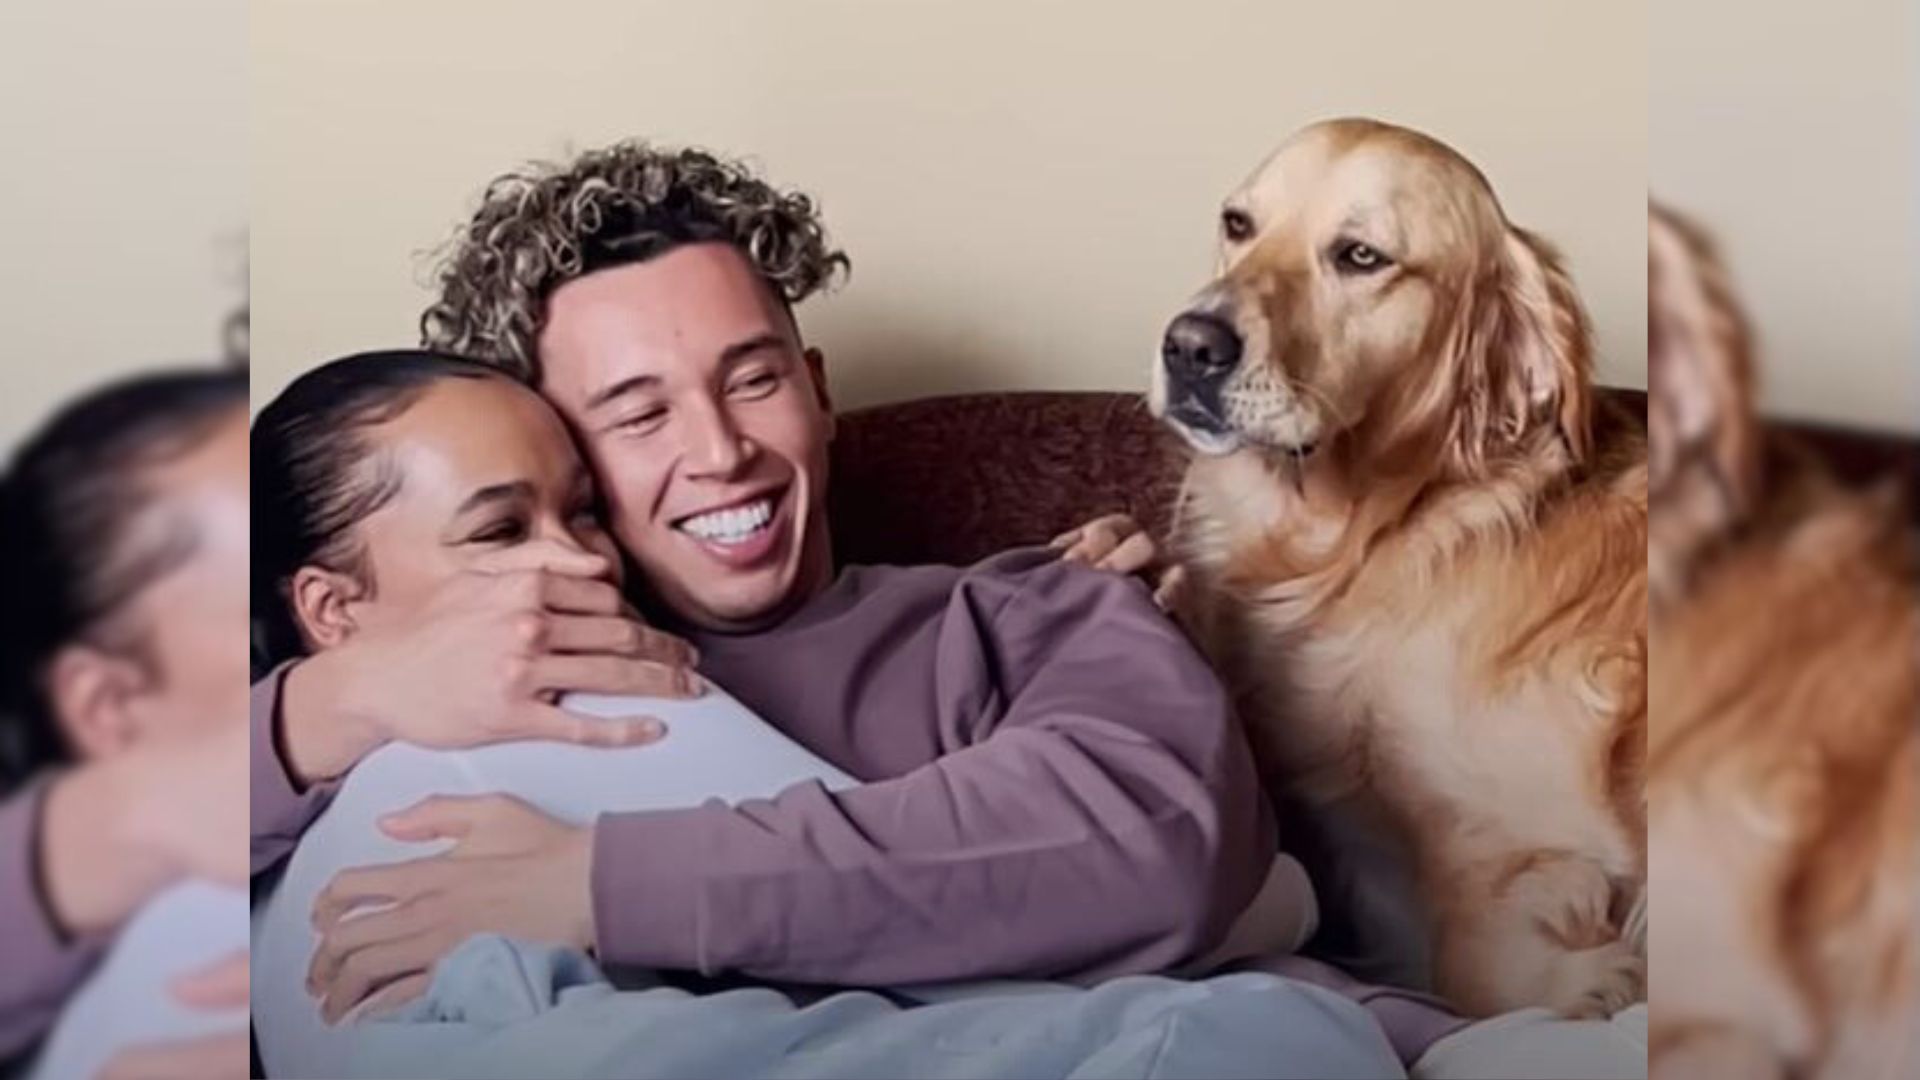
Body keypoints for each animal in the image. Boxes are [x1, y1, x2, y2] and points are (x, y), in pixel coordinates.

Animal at [1152, 119, 1651, 1014]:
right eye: (1238, 224)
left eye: (1361, 256)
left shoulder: (1532, 826)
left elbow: (1476, 966)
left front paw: (1602, 980)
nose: (1189, 346)